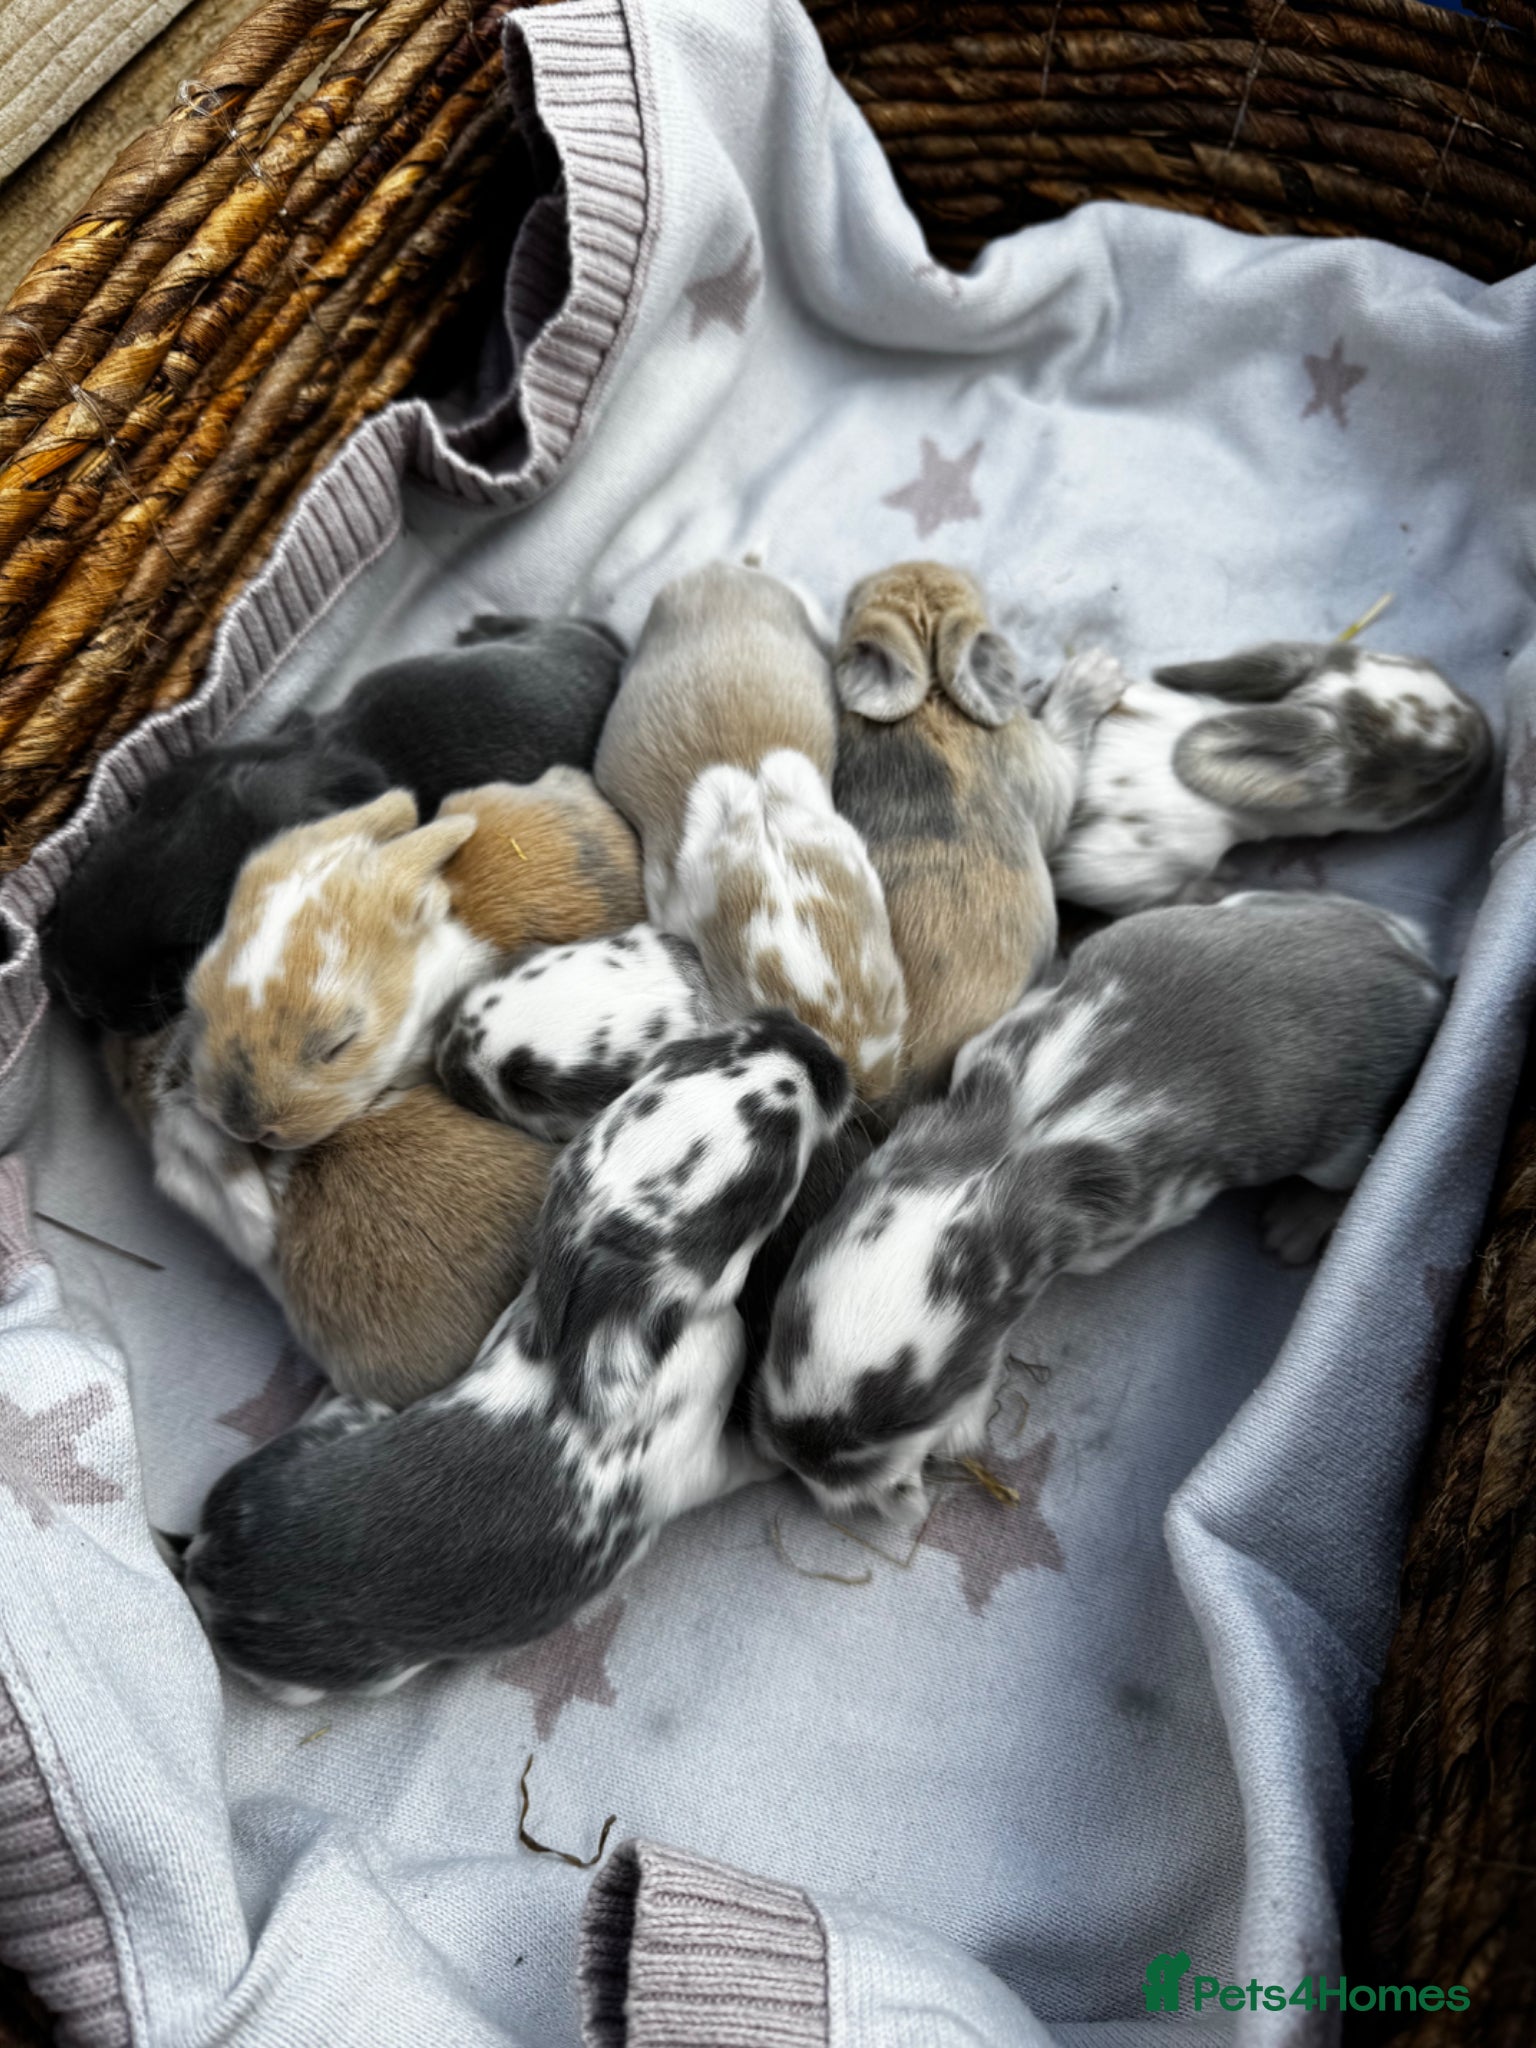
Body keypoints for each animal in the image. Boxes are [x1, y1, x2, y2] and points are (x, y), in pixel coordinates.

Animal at [179, 1010, 850, 1699]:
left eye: (698, 1052)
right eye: (775, 1151)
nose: (814, 1044)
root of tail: (206, 1567)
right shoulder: (698, 1462)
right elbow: (742, 1462)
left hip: (350, 1419)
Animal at [753, 891, 1447, 1518]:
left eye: (907, 1414)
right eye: (784, 1336)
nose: (797, 1461)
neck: (981, 1173)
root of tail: (1413, 960)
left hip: (1341, 1142)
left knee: (1347, 1172)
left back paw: (1297, 1222)